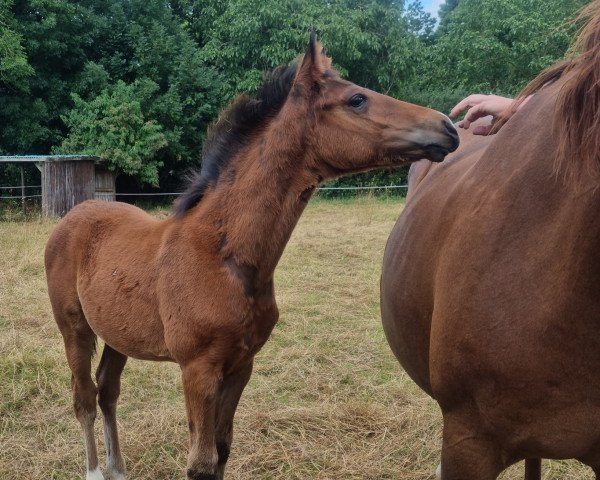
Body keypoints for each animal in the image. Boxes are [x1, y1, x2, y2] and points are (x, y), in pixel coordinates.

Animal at [45, 36, 460, 480]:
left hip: (116, 331)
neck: (225, 257)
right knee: (85, 398)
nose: (448, 128)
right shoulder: (198, 368)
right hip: (74, 328)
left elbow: (222, 451)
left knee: (108, 390)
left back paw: (118, 468)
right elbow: (201, 462)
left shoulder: (241, 365)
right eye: (357, 99)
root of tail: (75, 213)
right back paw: (94, 469)